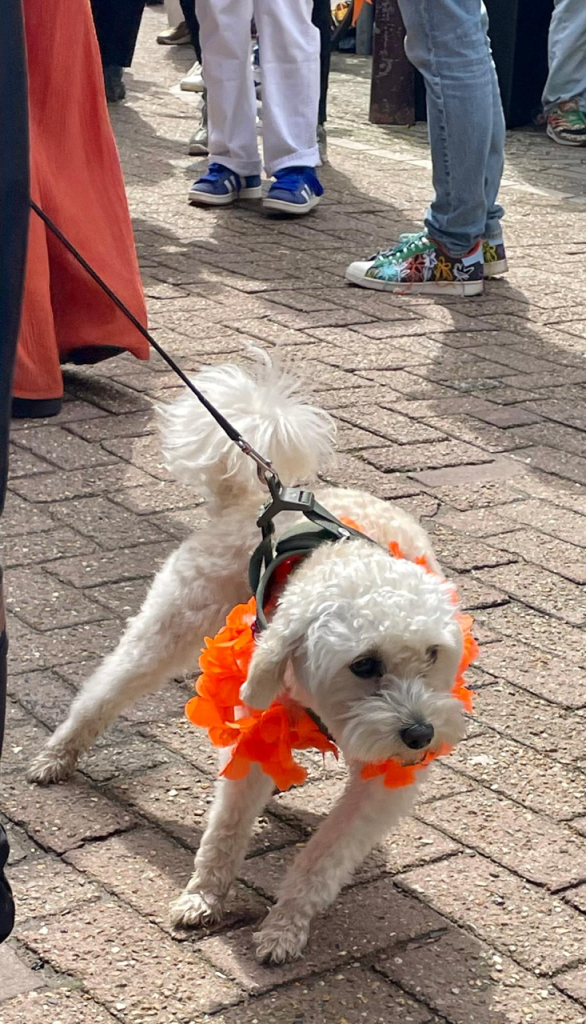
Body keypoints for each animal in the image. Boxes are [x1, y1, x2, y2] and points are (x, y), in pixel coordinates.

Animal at [28, 356, 467, 962]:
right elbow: (226, 830)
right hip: (167, 628)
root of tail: (257, 496)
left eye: (432, 654)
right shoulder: (255, 732)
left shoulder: (380, 784)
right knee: (104, 690)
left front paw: (286, 925)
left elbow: (324, 858)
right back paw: (58, 755)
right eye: (364, 664)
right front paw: (204, 895)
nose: (422, 735)